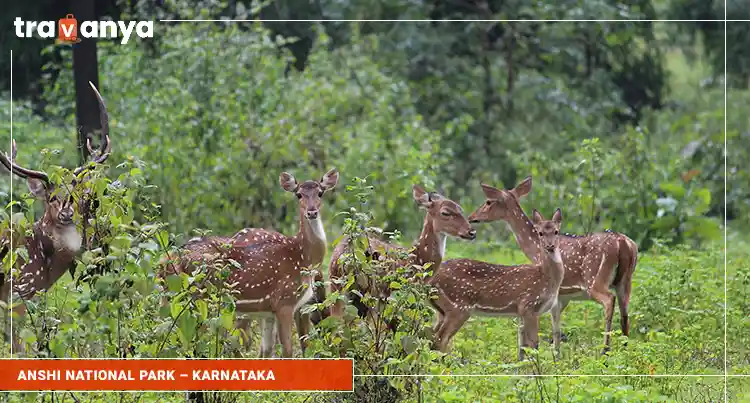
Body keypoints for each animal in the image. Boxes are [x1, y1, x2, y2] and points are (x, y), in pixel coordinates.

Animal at [328, 186, 476, 328]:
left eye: (461, 209)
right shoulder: (390, 295)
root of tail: (344, 258)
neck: (417, 260)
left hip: (336, 286)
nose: (472, 232)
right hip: (370, 291)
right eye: (445, 212)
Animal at [432, 210, 568, 358]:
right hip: (459, 306)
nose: (550, 246)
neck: (546, 278)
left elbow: (523, 346)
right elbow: (533, 345)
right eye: (540, 233)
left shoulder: (521, 312)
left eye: (556, 231)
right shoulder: (528, 305)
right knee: (441, 338)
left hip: (441, 310)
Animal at [468, 178, 636, 356]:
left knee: (609, 301)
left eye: (488, 201)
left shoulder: (554, 292)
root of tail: (623, 243)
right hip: (625, 281)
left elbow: (550, 328)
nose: (471, 217)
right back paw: (625, 349)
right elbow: (555, 328)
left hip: (595, 279)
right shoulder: (562, 295)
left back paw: (605, 350)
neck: (535, 249)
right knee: (625, 314)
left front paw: (551, 355)